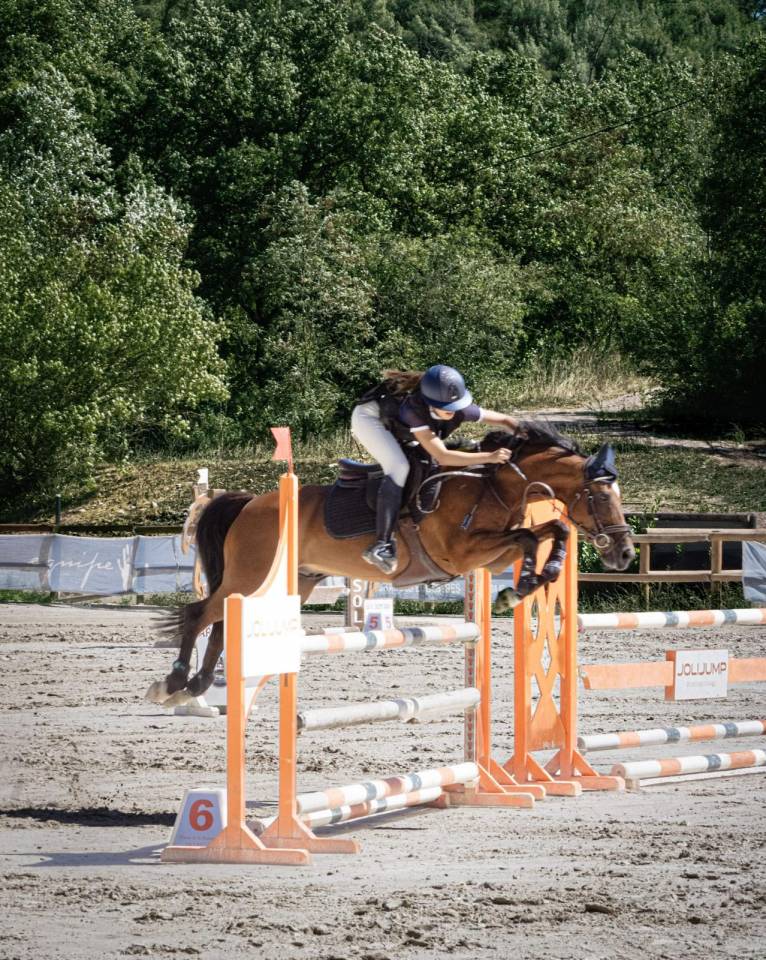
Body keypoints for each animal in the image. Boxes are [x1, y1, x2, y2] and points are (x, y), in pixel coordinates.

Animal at [146, 422, 635, 707]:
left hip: (293, 583)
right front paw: (518, 588)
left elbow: (552, 532)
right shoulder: (462, 551)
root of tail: (248, 504)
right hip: (250, 577)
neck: (492, 485)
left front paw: (527, 583)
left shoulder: (492, 550)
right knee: (201, 613)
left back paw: (198, 686)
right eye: (599, 496)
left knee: (223, 622)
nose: (625, 554)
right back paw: (173, 683)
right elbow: (533, 534)